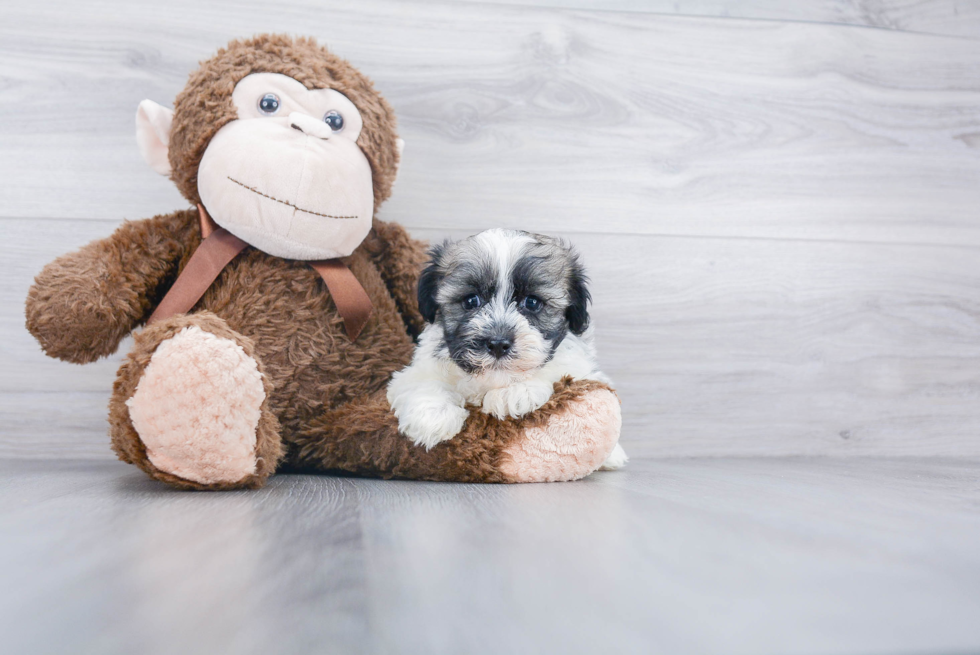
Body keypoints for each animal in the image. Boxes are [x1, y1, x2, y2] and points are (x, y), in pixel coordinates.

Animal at [384, 227, 628, 472]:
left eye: (532, 302)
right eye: (471, 300)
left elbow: (556, 370)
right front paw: (434, 416)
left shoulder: (579, 365)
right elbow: (422, 381)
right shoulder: (420, 367)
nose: (498, 344)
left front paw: (515, 392)